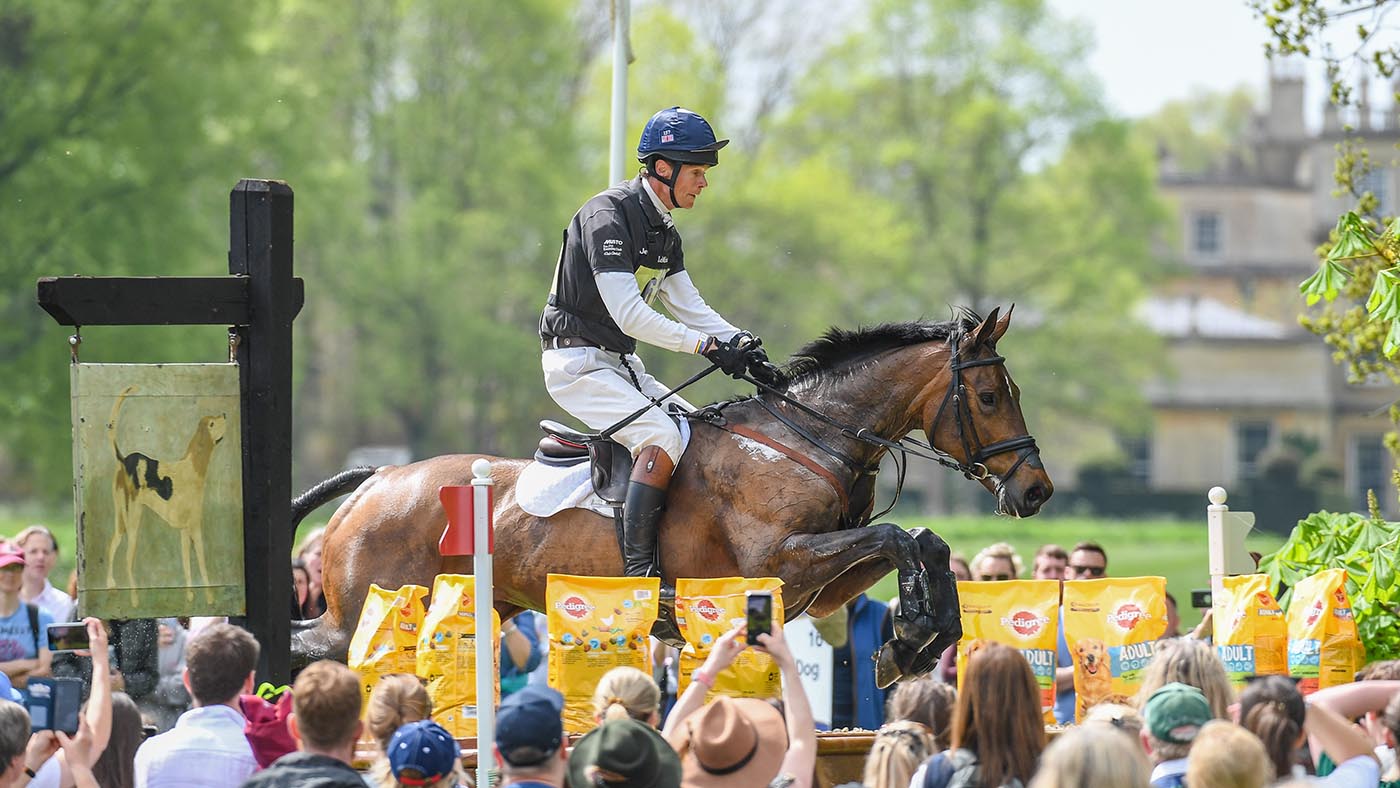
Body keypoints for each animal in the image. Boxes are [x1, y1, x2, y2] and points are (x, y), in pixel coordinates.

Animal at [290, 306, 1053, 686]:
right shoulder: (783, 561)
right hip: (371, 611)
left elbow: (923, 542)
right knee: (312, 645)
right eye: (990, 396)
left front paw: (917, 642)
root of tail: (377, 480)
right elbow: (900, 538)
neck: (808, 437)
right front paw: (915, 636)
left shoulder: (818, 589)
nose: (1037, 490)